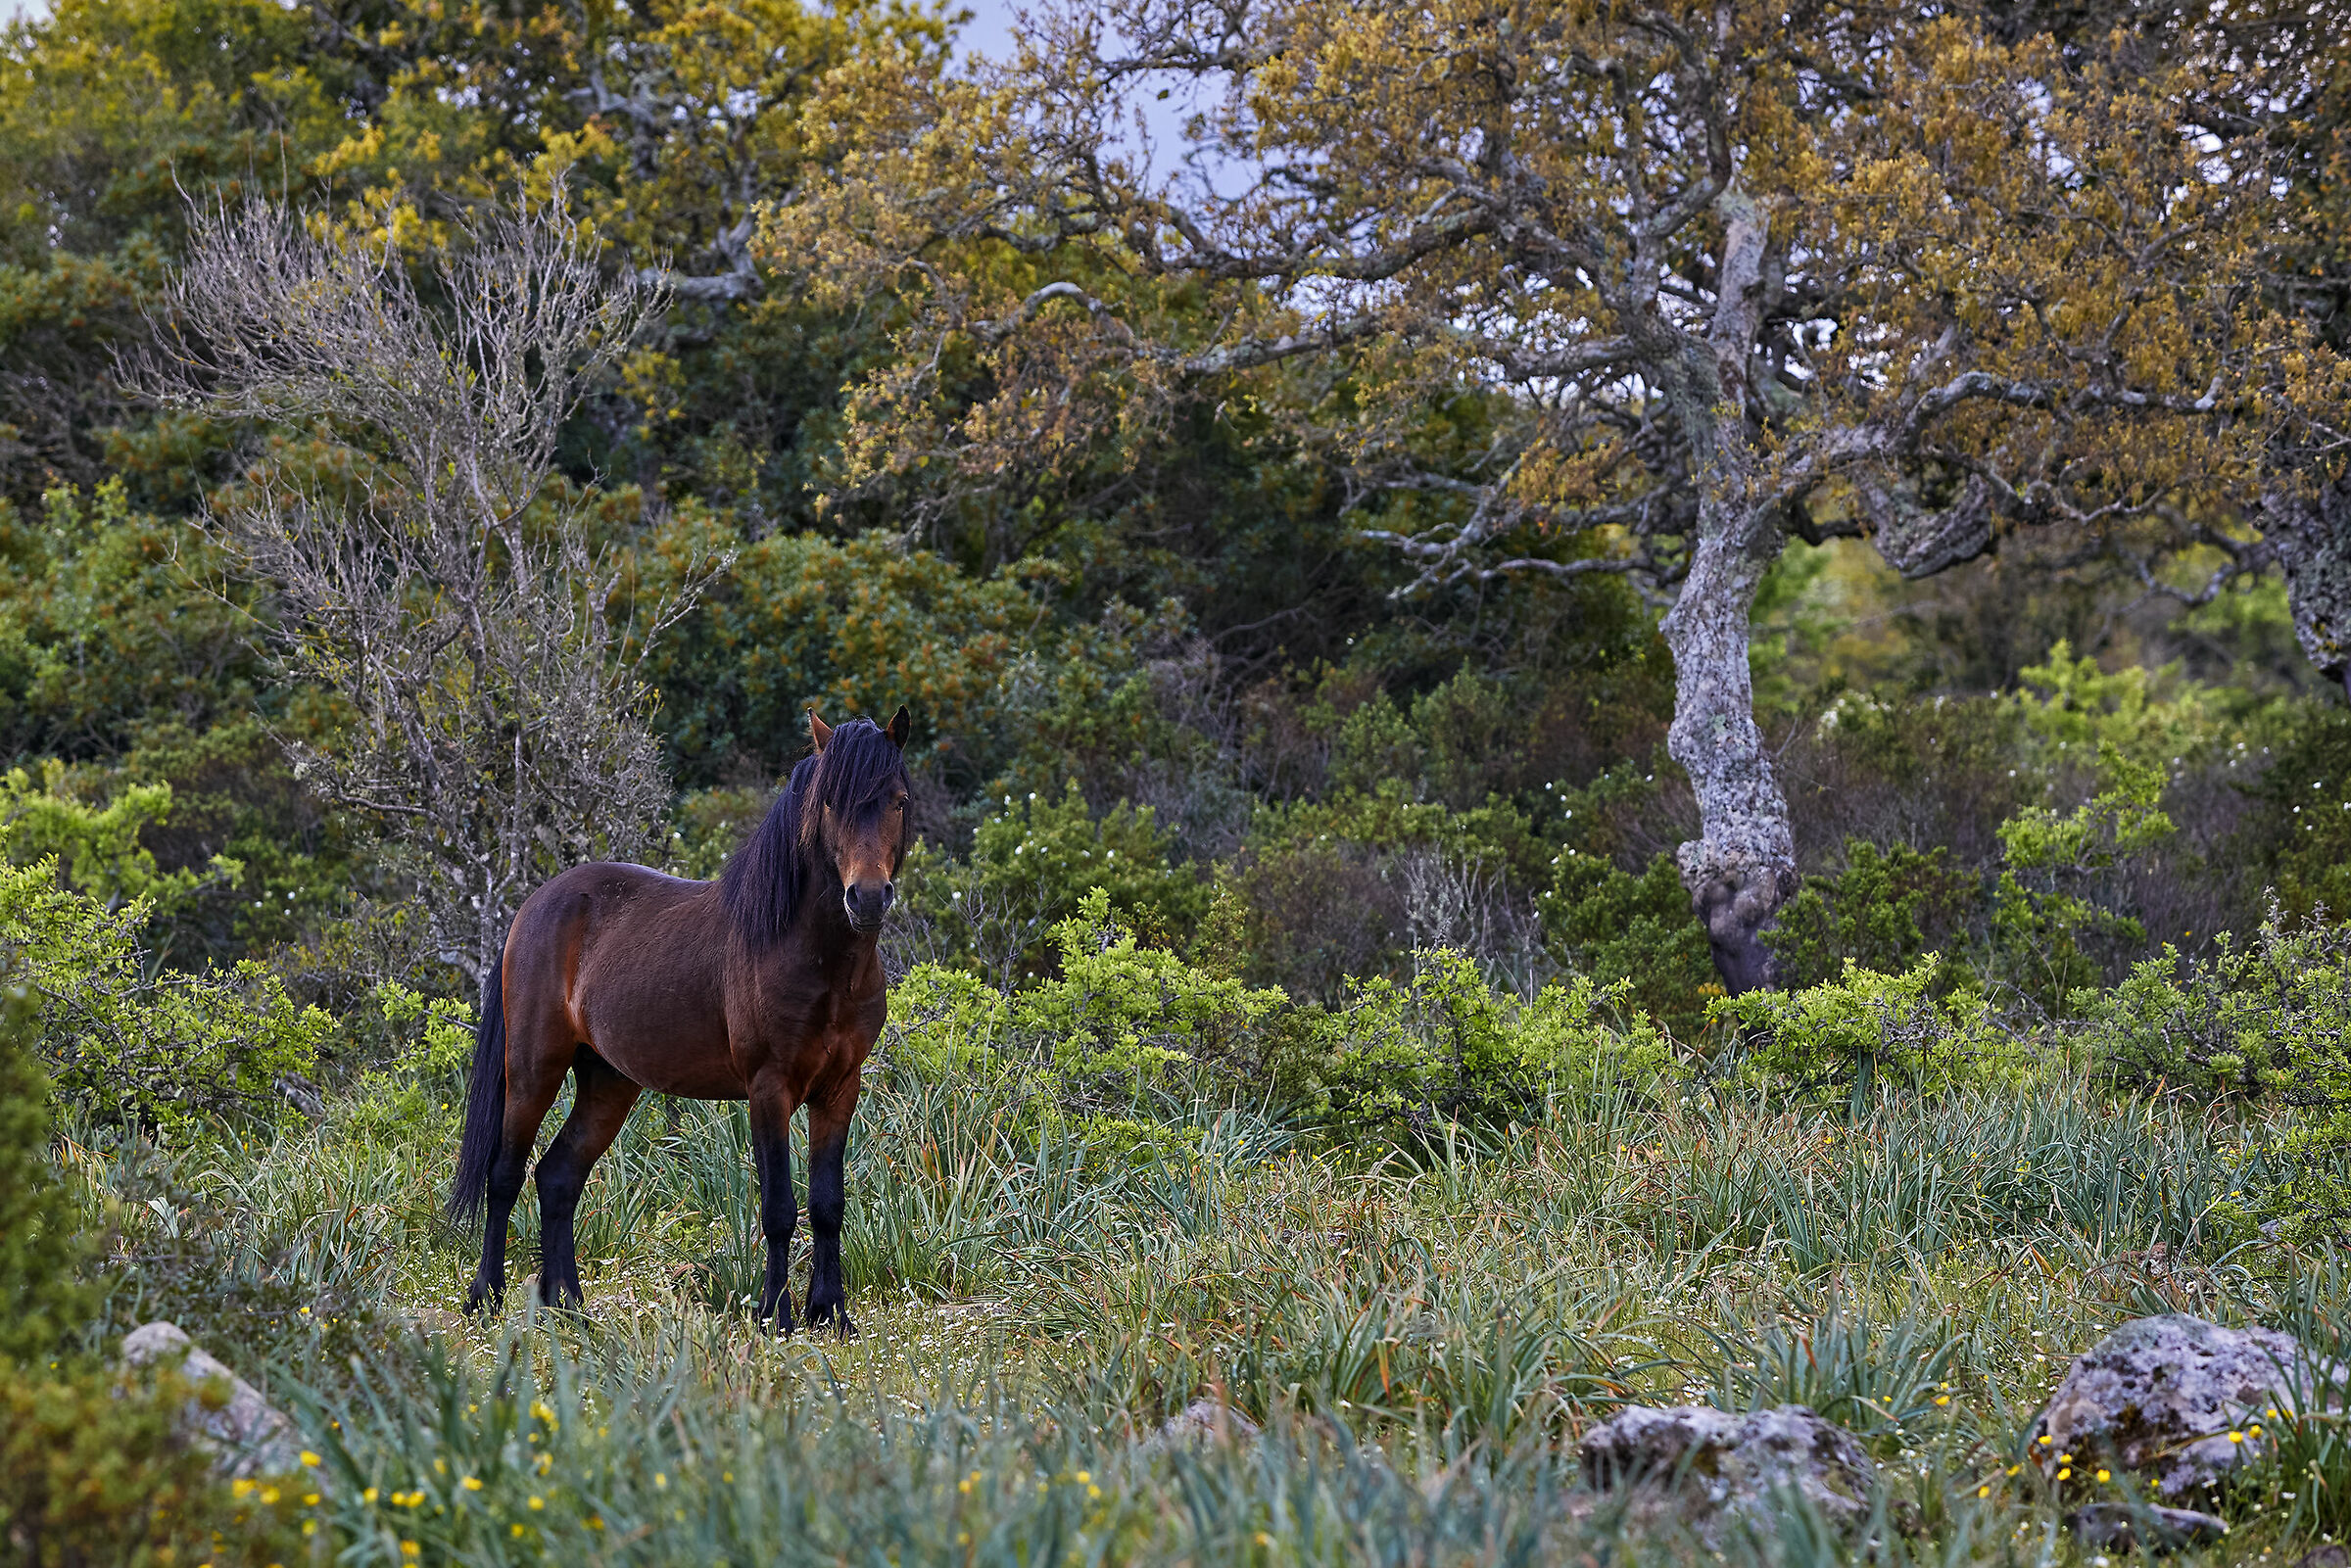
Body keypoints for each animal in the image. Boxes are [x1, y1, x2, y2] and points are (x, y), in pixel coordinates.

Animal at [447, 705, 912, 1335]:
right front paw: (775, 1315)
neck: (813, 957)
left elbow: (826, 1204)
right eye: (831, 803)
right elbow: (780, 1208)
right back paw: (486, 1298)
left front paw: (831, 1314)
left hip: (608, 1081)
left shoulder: (839, 1089)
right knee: (505, 1175)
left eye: (896, 799)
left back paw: (568, 1306)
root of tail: (534, 906)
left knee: (558, 1176)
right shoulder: (769, 1088)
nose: (866, 897)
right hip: (532, 1068)